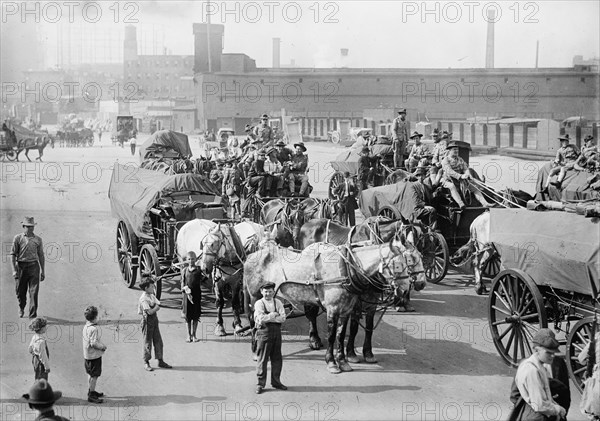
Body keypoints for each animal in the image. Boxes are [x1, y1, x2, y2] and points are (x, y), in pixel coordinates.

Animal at [243, 238, 418, 372]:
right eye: (398, 265)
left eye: (408, 263)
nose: (405, 290)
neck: (347, 269)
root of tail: (251, 255)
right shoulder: (333, 310)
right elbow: (332, 336)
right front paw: (332, 362)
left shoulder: (346, 310)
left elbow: (341, 335)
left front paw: (343, 361)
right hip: (254, 295)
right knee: (253, 319)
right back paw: (255, 350)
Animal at [296, 215, 426, 360]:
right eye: (407, 257)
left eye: (421, 241)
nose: (421, 283)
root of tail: (307, 223)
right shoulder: (357, 298)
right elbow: (354, 327)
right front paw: (350, 353)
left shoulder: (372, 297)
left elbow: (369, 326)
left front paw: (367, 352)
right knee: (311, 310)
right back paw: (314, 339)